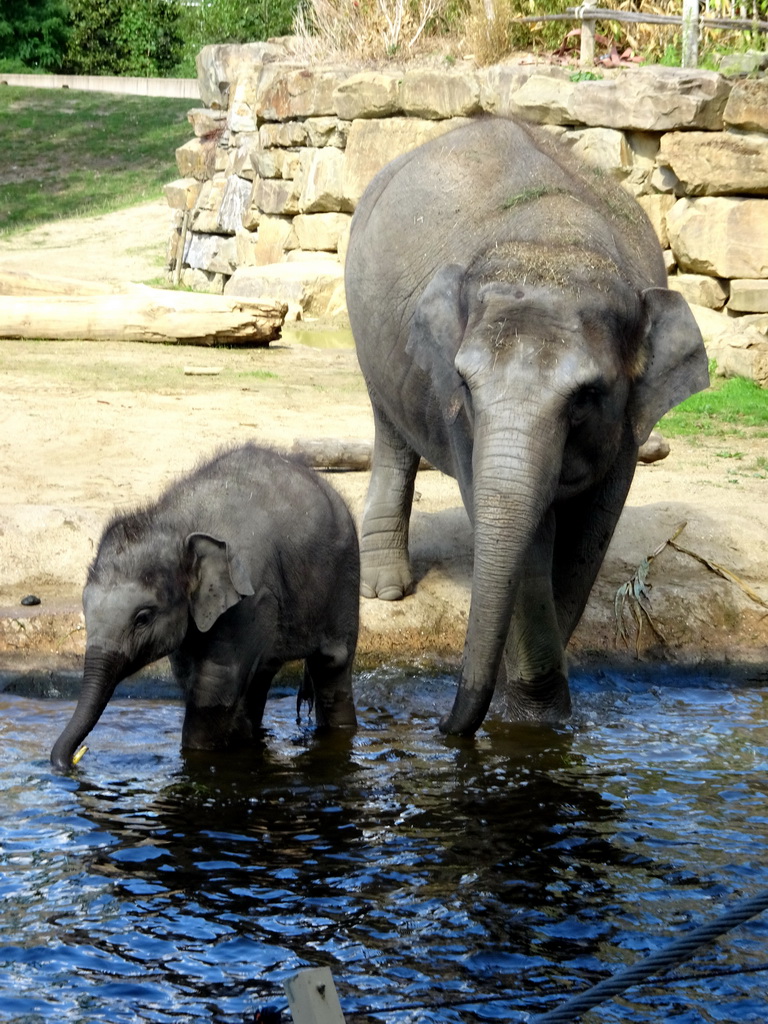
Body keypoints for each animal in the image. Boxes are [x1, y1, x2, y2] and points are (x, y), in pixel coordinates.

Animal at [52, 444, 360, 770]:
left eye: (143, 618)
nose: (74, 760)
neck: (176, 523)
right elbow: (191, 677)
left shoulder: (249, 597)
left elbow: (214, 686)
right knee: (260, 678)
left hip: (345, 576)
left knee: (331, 666)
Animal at [348, 116, 708, 737]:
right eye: (465, 383)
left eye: (588, 396)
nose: (444, 728)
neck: (553, 246)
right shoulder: (464, 420)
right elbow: (527, 537)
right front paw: (532, 718)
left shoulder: (627, 427)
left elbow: (590, 532)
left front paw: (539, 719)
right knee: (390, 429)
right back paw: (385, 592)